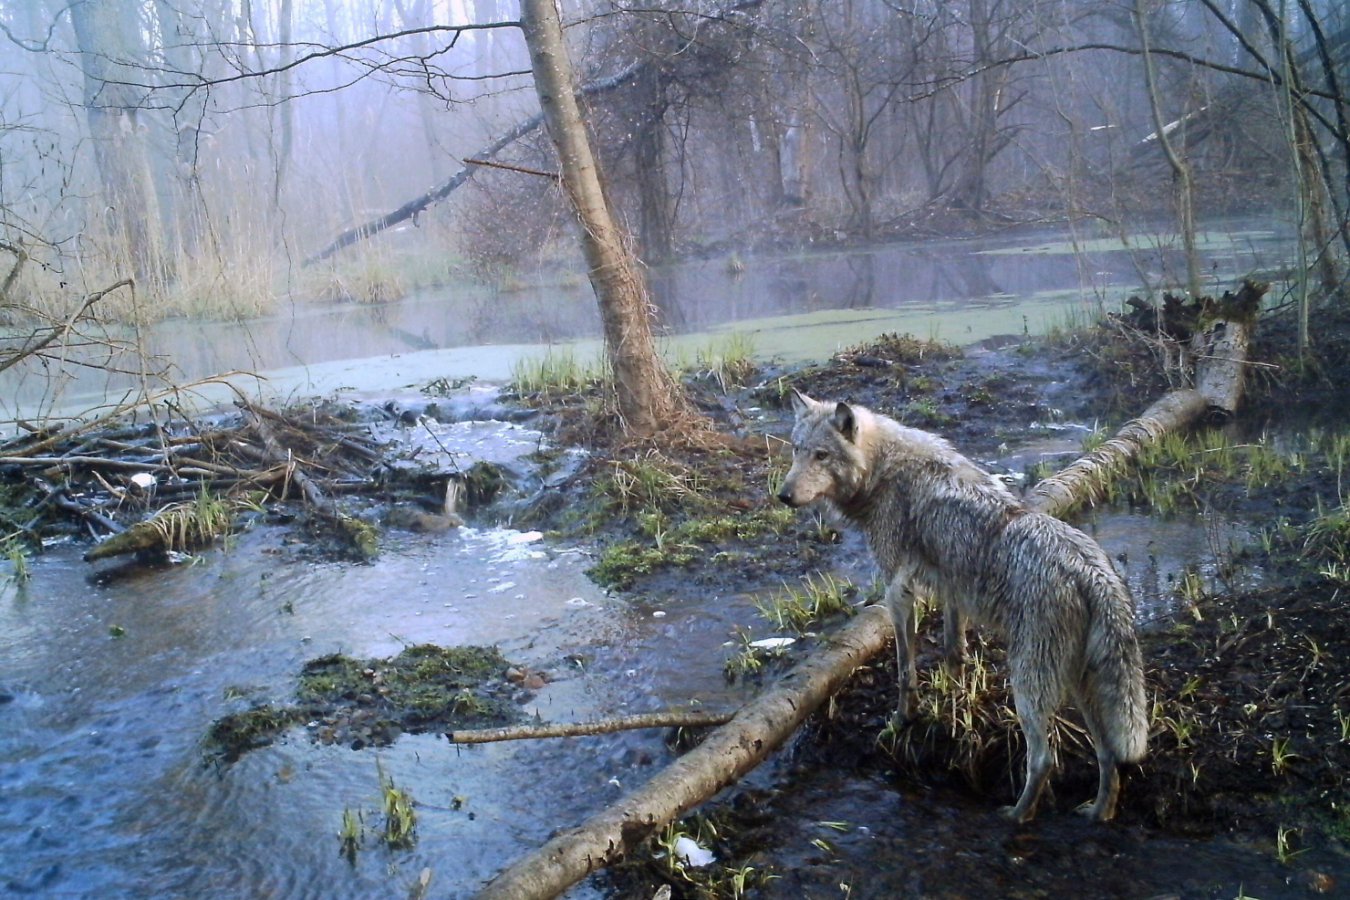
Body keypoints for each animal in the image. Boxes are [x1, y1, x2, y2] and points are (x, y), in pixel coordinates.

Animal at [777, 389, 1147, 823]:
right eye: (797, 450)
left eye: (821, 455)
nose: (783, 496)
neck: (883, 469)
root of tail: (1092, 572)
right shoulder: (951, 589)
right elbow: (954, 652)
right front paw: (951, 706)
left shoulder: (898, 591)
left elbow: (905, 670)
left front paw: (902, 720)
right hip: (1078, 685)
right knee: (1108, 755)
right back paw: (1098, 813)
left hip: (1029, 687)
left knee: (1044, 760)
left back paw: (1016, 816)